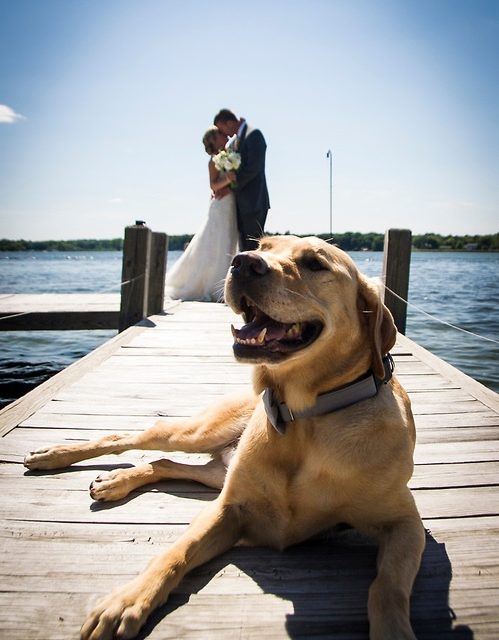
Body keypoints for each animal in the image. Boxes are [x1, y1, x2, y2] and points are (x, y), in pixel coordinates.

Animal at [24, 236, 426, 640]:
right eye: (263, 246)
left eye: (315, 263)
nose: (243, 263)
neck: (303, 419)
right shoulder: (226, 508)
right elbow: (177, 551)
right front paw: (126, 601)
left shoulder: (406, 525)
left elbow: (387, 588)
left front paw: (393, 629)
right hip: (199, 434)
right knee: (129, 436)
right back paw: (55, 455)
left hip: (217, 471)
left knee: (164, 462)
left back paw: (116, 480)